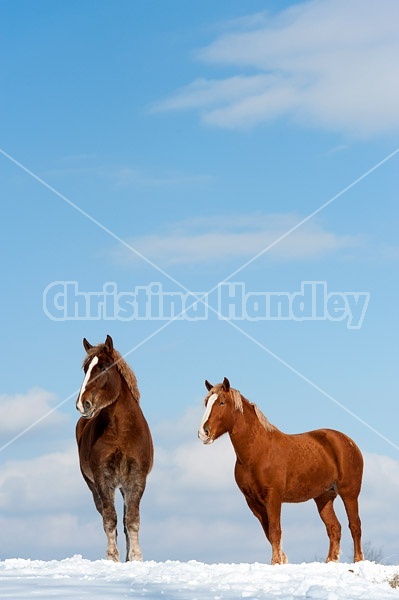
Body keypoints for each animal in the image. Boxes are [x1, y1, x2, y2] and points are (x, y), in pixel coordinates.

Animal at [76, 336, 154, 560]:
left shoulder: (136, 478)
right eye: (85, 369)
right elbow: (110, 519)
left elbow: (132, 520)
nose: (82, 404)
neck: (121, 431)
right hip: (93, 487)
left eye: (103, 367)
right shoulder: (103, 479)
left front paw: (135, 557)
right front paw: (112, 557)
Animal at [198, 378, 364, 564]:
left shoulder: (273, 497)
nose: (203, 433)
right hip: (324, 497)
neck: (257, 453)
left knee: (355, 525)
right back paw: (330, 561)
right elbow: (268, 532)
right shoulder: (253, 502)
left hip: (349, 493)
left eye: (221, 402)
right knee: (334, 527)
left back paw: (358, 560)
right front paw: (283, 560)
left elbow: (275, 530)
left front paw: (276, 562)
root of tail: (348, 441)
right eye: (206, 403)